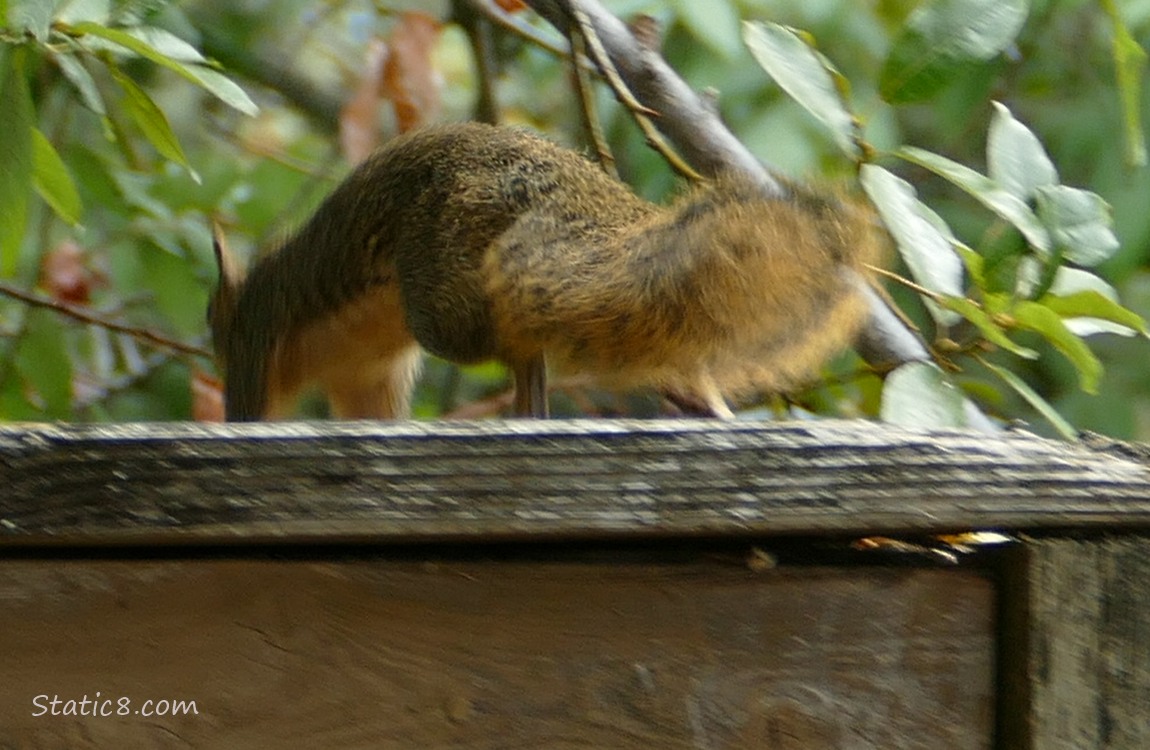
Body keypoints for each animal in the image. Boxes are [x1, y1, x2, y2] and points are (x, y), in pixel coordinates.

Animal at [209, 121, 884, 421]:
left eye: (215, 333)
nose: (215, 342)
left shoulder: (258, 346)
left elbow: (253, 400)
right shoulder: (369, 377)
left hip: (441, 286)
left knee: (504, 336)